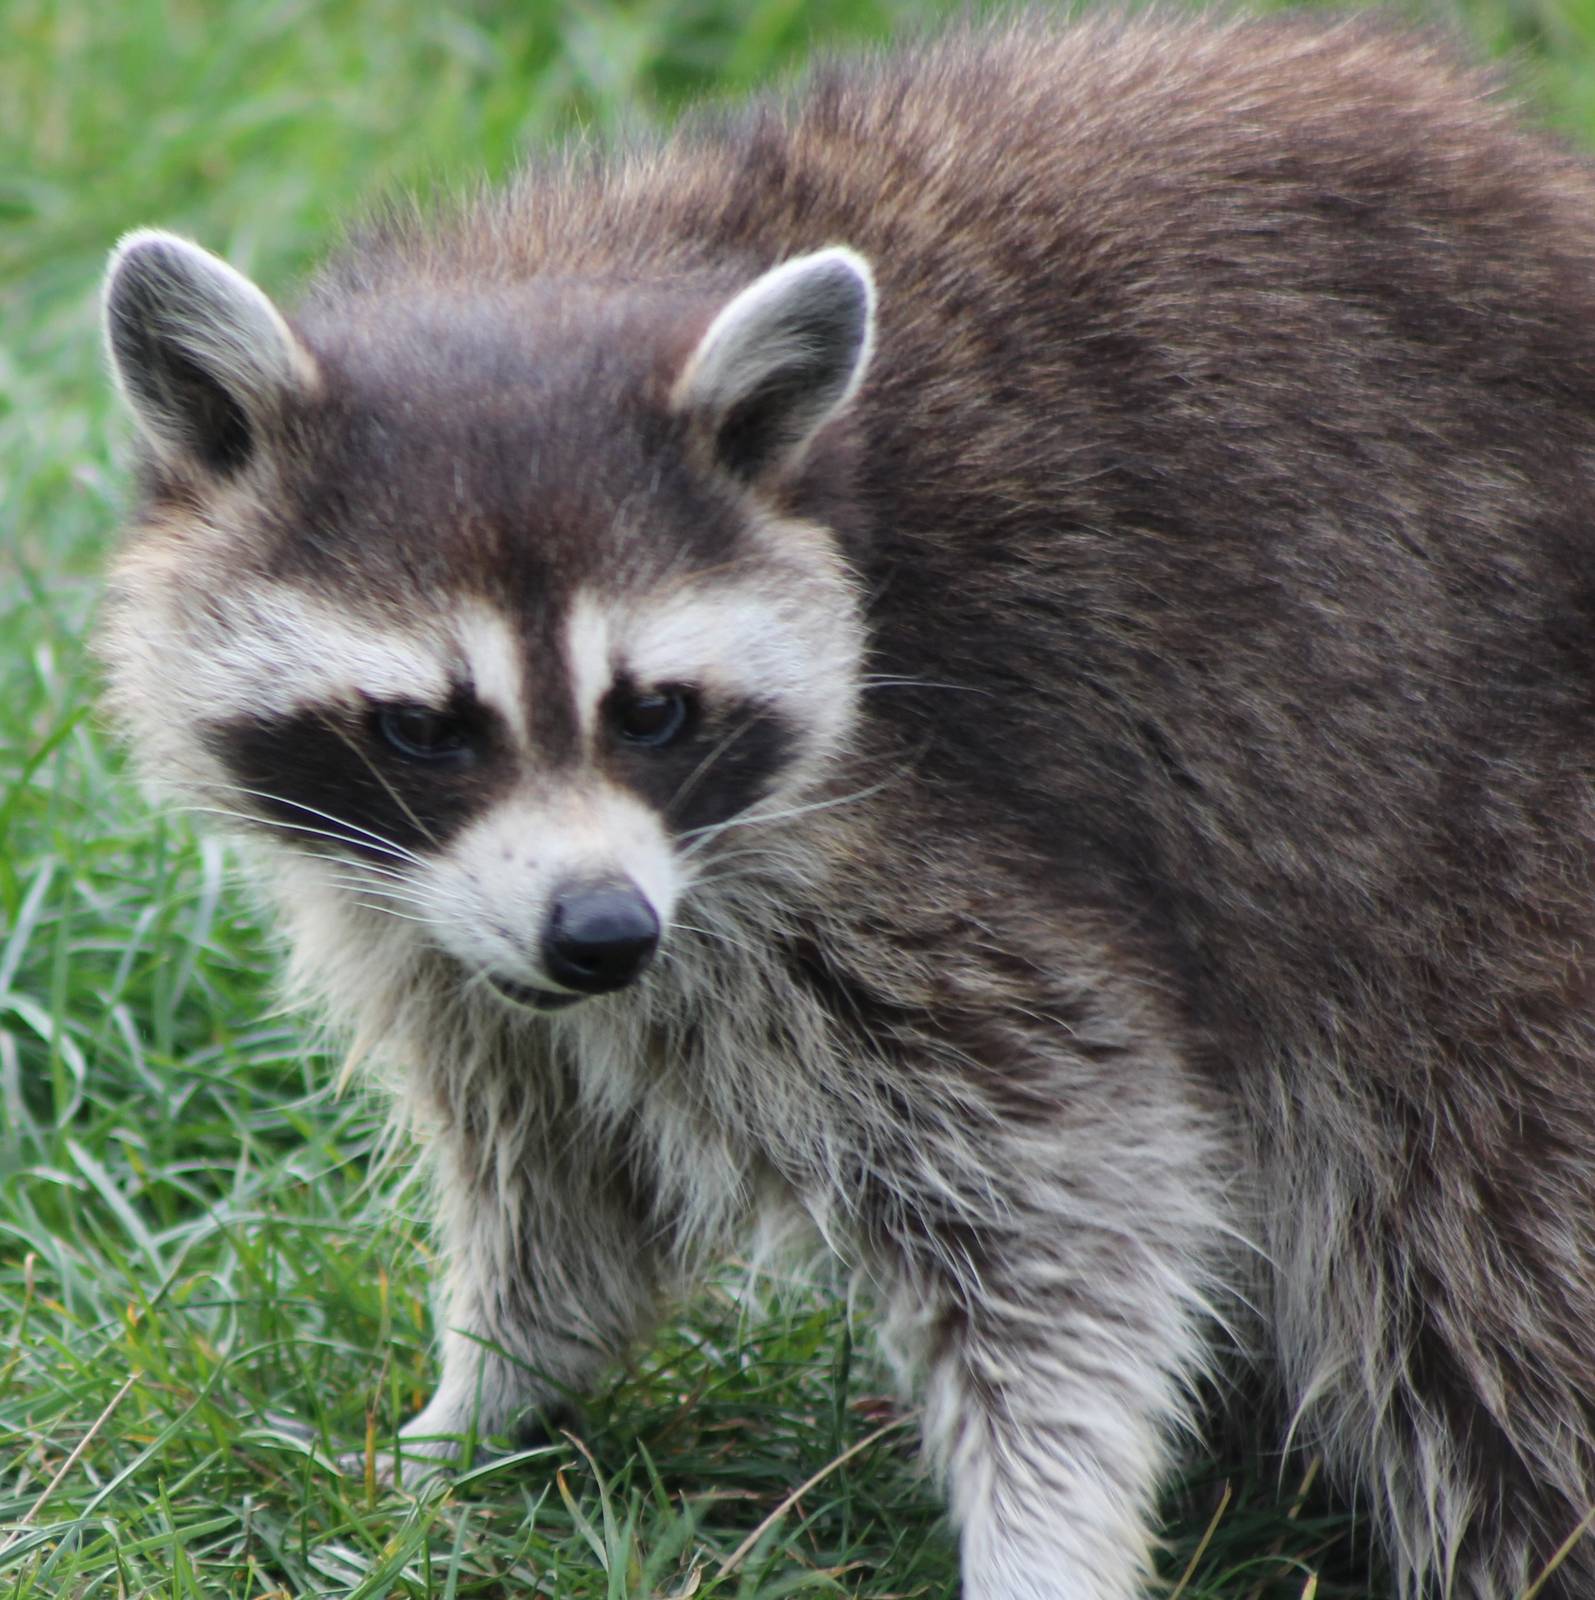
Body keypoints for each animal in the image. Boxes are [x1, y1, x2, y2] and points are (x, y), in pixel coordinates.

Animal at [98, 11, 1595, 1599]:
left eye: (652, 711)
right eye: (419, 728)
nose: (599, 934)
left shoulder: (917, 840)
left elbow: (1066, 1190)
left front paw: (1047, 1527)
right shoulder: (438, 917)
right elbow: (560, 1187)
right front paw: (479, 1408)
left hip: (1476, 883)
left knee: (1470, 1273)